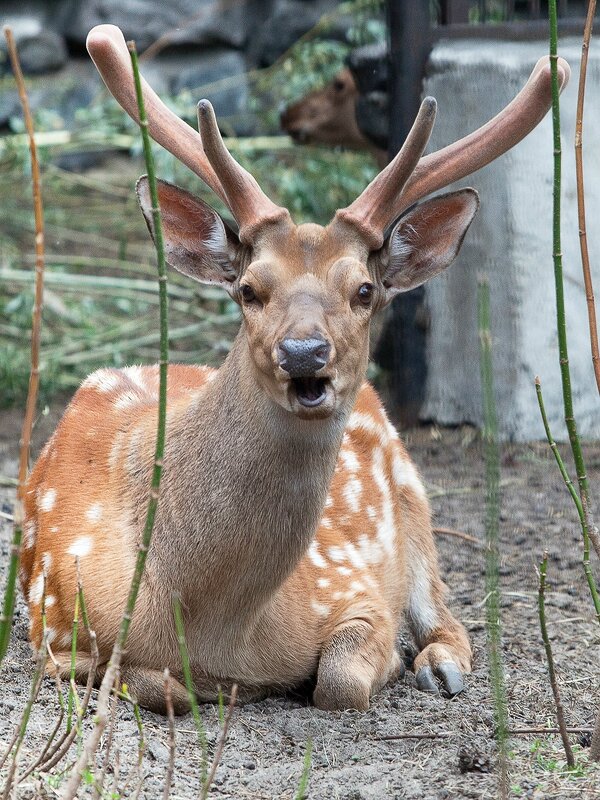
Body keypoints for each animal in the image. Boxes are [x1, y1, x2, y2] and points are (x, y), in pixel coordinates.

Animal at [18, 23, 568, 712]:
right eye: (250, 289)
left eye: (364, 290)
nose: (304, 353)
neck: (210, 625)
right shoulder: (53, 630)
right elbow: (151, 684)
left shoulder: (353, 587)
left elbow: (341, 681)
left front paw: (388, 663)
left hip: (416, 501)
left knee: (447, 612)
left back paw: (438, 665)